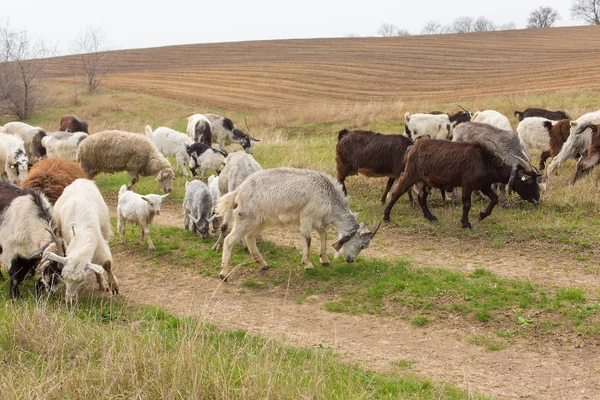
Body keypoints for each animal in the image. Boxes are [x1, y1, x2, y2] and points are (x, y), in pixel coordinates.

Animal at [216, 169, 382, 282]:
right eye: (362, 244)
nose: (350, 260)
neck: (329, 197)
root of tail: (239, 190)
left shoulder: (317, 220)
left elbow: (323, 234)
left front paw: (324, 259)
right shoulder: (307, 217)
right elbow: (308, 238)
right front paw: (308, 263)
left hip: (261, 221)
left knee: (250, 237)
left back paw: (263, 264)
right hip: (246, 217)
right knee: (230, 240)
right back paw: (224, 274)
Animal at [384, 140, 544, 228]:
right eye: (529, 182)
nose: (537, 198)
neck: (485, 161)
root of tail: (412, 148)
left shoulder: (484, 185)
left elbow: (494, 198)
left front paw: (482, 215)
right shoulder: (467, 185)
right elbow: (467, 204)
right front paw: (466, 223)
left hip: (424, 181)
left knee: (421, 198)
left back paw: (431, 217)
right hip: (410, 175)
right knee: (397, 192)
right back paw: (386, 217)